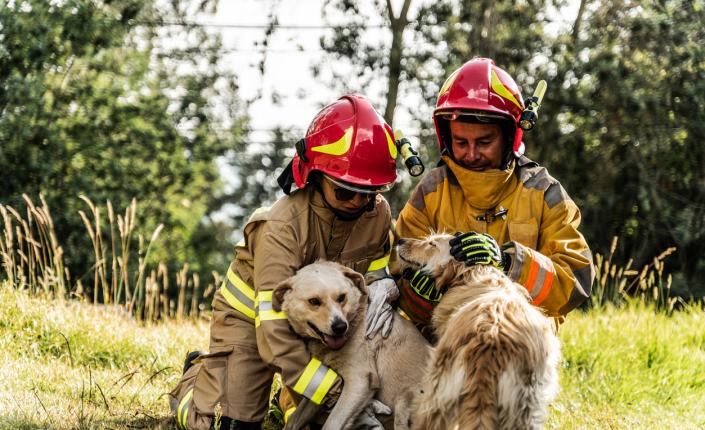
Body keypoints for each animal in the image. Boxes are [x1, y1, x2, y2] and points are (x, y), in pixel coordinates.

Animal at [274, 260, 428, 428]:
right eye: (314, 301)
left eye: (342, 297)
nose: (340, 327)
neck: (355, 321)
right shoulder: (324, 385)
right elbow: (295, 419)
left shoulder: (360, 380)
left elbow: (332, 424)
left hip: (404, 403)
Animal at [396, 235, 560, 430]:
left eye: (432, 244)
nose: (400, 240)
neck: (474, 273)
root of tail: (491, 340)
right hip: (523, 410)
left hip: (437, 392)